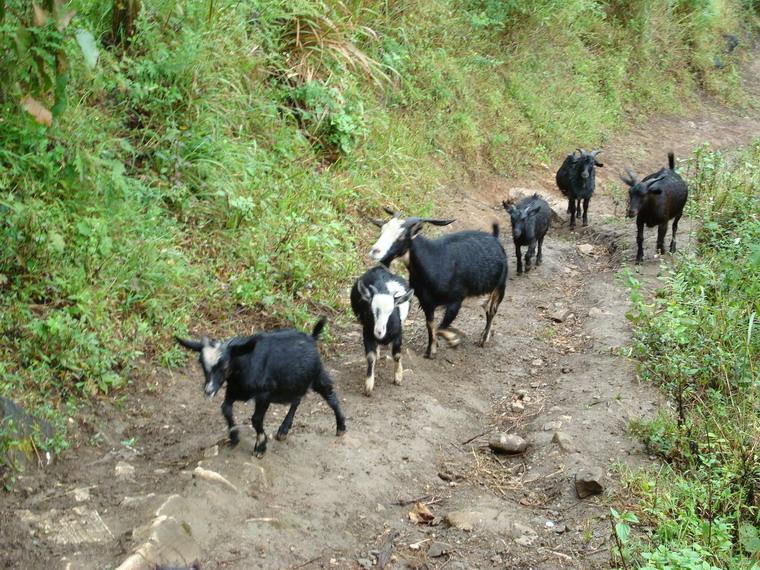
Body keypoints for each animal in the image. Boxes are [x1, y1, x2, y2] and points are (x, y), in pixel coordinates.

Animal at [175, 318, 344, 454]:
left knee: (331, 396)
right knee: (297, 400)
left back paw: (341, 427)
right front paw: (234, 436)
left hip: (317, 376)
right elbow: (225, 408)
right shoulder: (233, 390)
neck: (244, 364)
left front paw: (260, 446)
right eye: (201, 364)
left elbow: (256, 419)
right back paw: (283, 429)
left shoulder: (264, 395)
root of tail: (311, 338)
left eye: (225, 366)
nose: (209, 390)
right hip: (294, 381)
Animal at [348, 266, 412, 394]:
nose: (379, 331)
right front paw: (368, 385)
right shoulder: (367, 333)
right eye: (371, 310)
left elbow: (397, 355)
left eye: (391, 311)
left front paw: (398, 377)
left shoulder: (398, 333)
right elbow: (370, 357)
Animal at [366, 209, 504, 358]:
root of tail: (495, 238)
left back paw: (483, 339)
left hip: (499, 288)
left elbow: (439, 327)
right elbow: (431, 325)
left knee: (492, 311)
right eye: (382, 230)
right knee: (486, 308)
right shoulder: (426, 302)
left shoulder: (455, 301)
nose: (375, 251)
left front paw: (452, 340)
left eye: (402, 236)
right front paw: (430, 350)